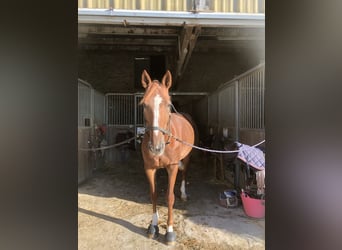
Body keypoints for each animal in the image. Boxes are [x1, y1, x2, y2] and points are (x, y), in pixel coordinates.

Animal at [139, 69, 192, 245]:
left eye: (168, 105)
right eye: (143, 105)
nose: (156, 148)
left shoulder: (172, 167)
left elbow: (169, 197)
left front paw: (169, 231)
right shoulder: (149, 168)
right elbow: (153, 195)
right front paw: (153, 227)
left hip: (186, 159)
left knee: (184, 174)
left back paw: (183, 193)